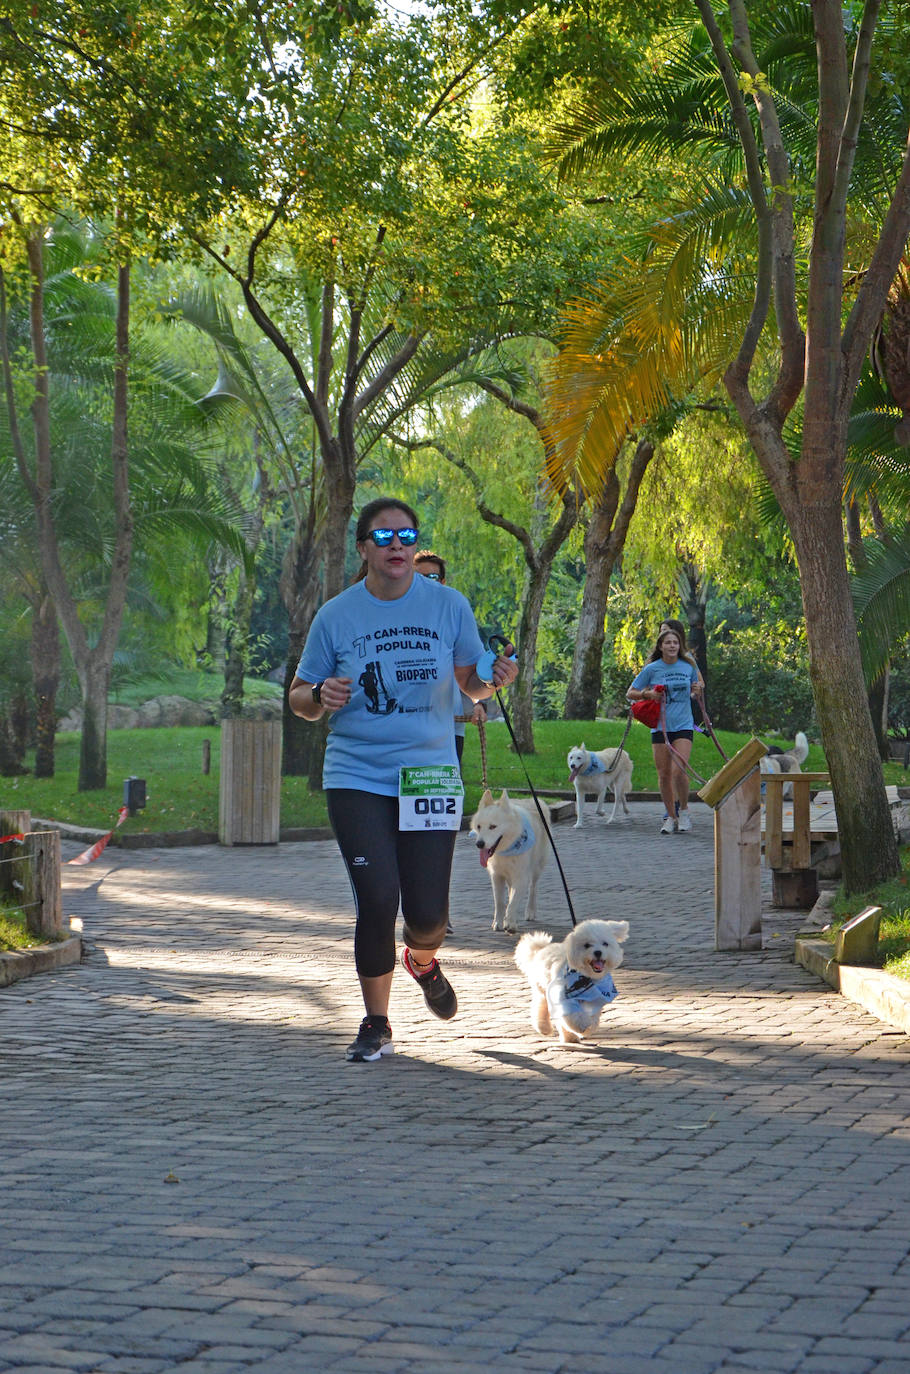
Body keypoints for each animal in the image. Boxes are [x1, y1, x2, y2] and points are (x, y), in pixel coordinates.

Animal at [472, 791, 552, 939]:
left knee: (533, 887)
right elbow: (500, 902)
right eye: (479, 827)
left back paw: (530, 911)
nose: (479, 844)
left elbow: (513, 902)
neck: (506, 849)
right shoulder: (497, 876)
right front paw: (498, 923)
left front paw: (510, 924)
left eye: (493, 826)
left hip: (537, 868)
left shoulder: (521, 878)